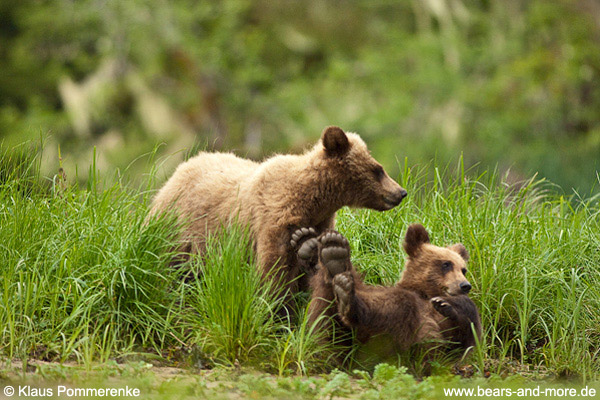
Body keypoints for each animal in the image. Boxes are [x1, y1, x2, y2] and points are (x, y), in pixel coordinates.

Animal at [149, 126, 408, 296]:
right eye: (378, 170)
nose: (401, 192)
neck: (312, 201)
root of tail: (177, 172)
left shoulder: (321, 221)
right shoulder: (273, 219)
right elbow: (273, 269)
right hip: (180, 230)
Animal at [290, 223, 482, 358]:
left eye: (463, 269)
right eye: (446, 264)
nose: (465, 285)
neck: (424, 293)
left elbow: (466, 335)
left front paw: (446, 305)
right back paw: (330, 254)